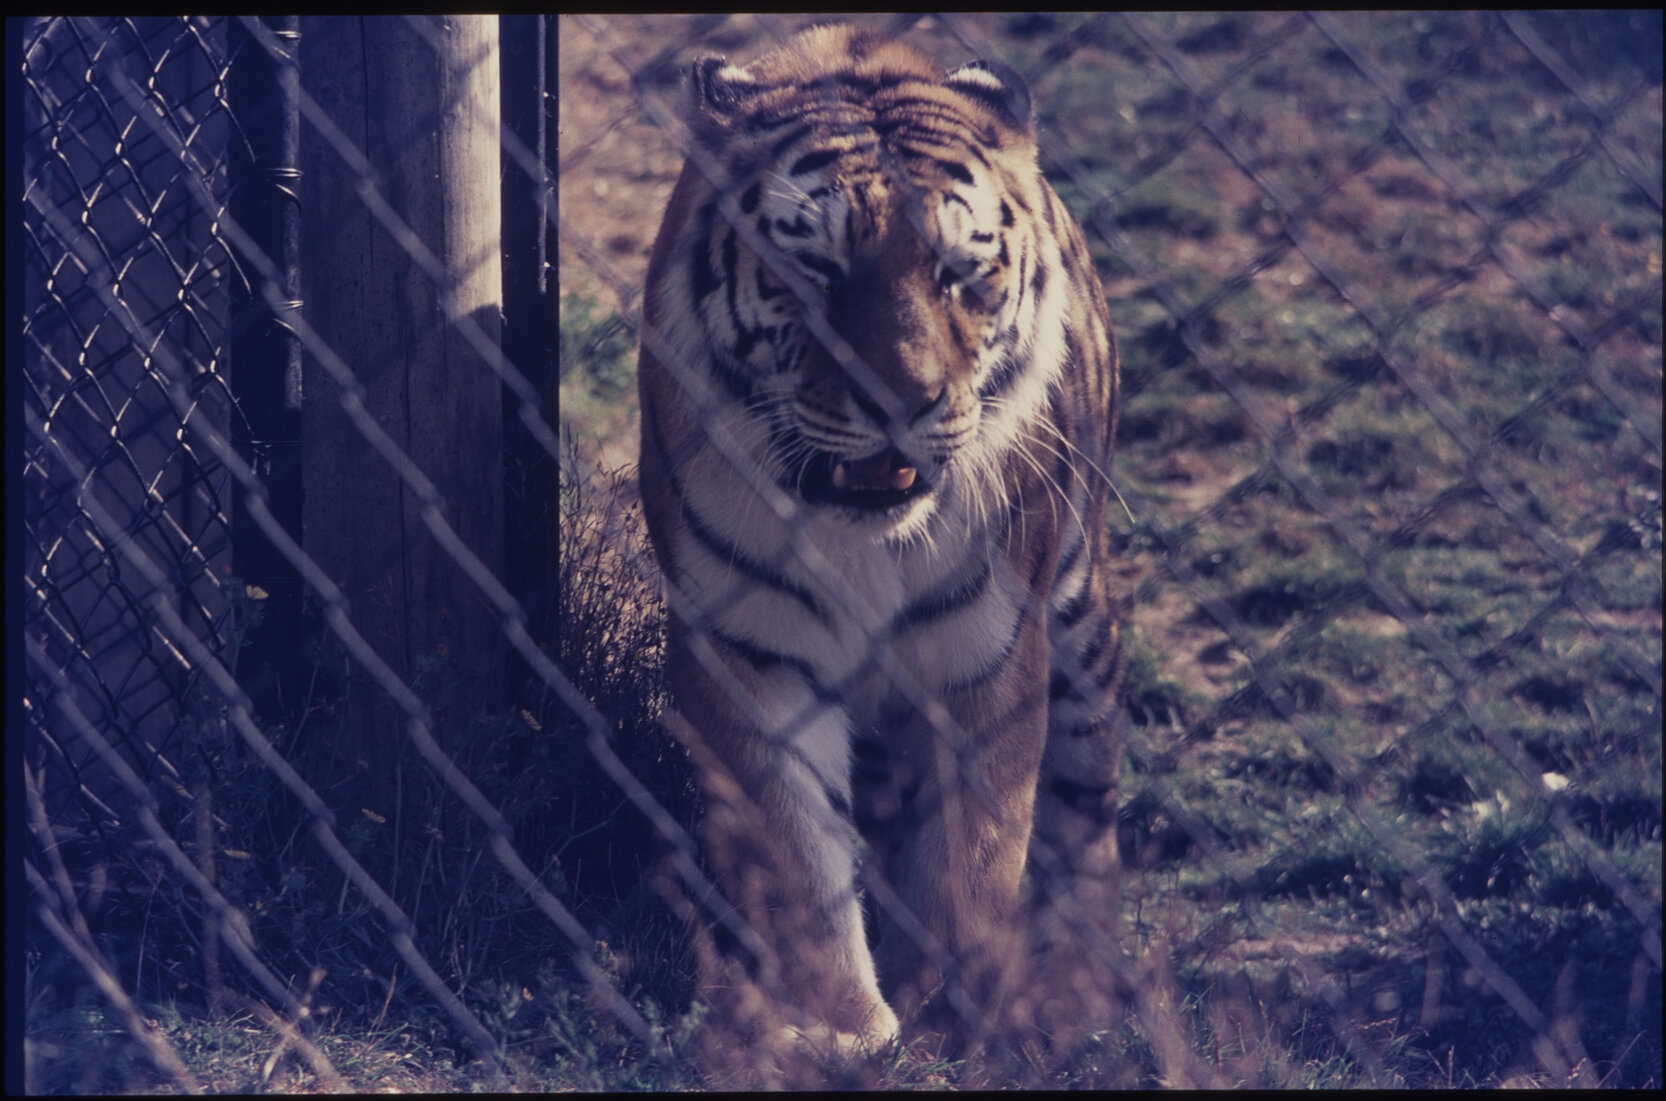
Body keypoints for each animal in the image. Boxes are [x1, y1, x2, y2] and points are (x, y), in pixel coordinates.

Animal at [635, 23, 1125, 1068]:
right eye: (817, 271)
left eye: (959, 274)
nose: (902, 401)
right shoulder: (747, 652)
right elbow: (796, 851)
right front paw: (834, 1025)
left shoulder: (989, 657)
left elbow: (972, 859)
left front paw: (944, 1019)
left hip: (1081, 611)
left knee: (1086, 809)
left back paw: (1077, 991)